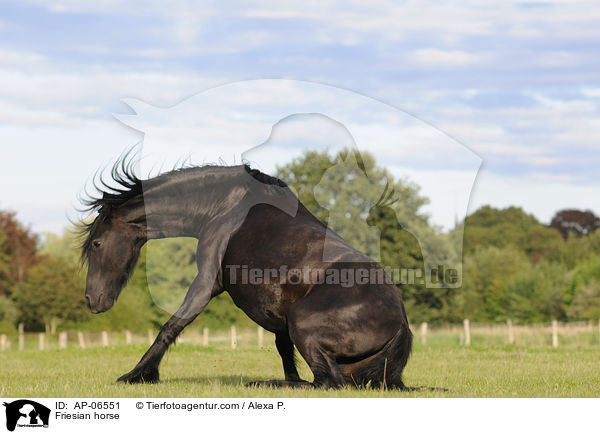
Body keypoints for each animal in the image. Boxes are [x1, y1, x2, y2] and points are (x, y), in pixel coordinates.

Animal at [79, 156, 412, 390]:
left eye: (96, 243)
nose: (91, 300)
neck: (224, 206)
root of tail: (401, 322)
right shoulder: (277, 311)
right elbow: (283, 349)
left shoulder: (207, 282)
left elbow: (172, 325)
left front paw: (137, 374)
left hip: (302, 319)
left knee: (326, 383)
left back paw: (261, 383)